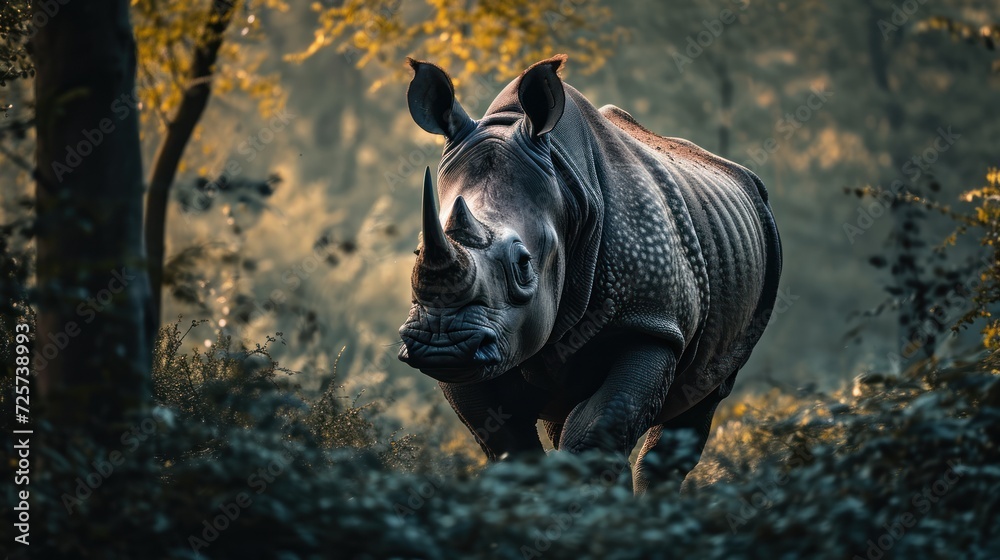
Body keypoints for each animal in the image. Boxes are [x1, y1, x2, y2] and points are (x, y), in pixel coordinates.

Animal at [398, 54, 782, 491]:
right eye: (417, 252)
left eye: (524, 264)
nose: (442, 342)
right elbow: (508, 444)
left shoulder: (652, 320)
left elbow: (595, 433)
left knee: (703, 393)